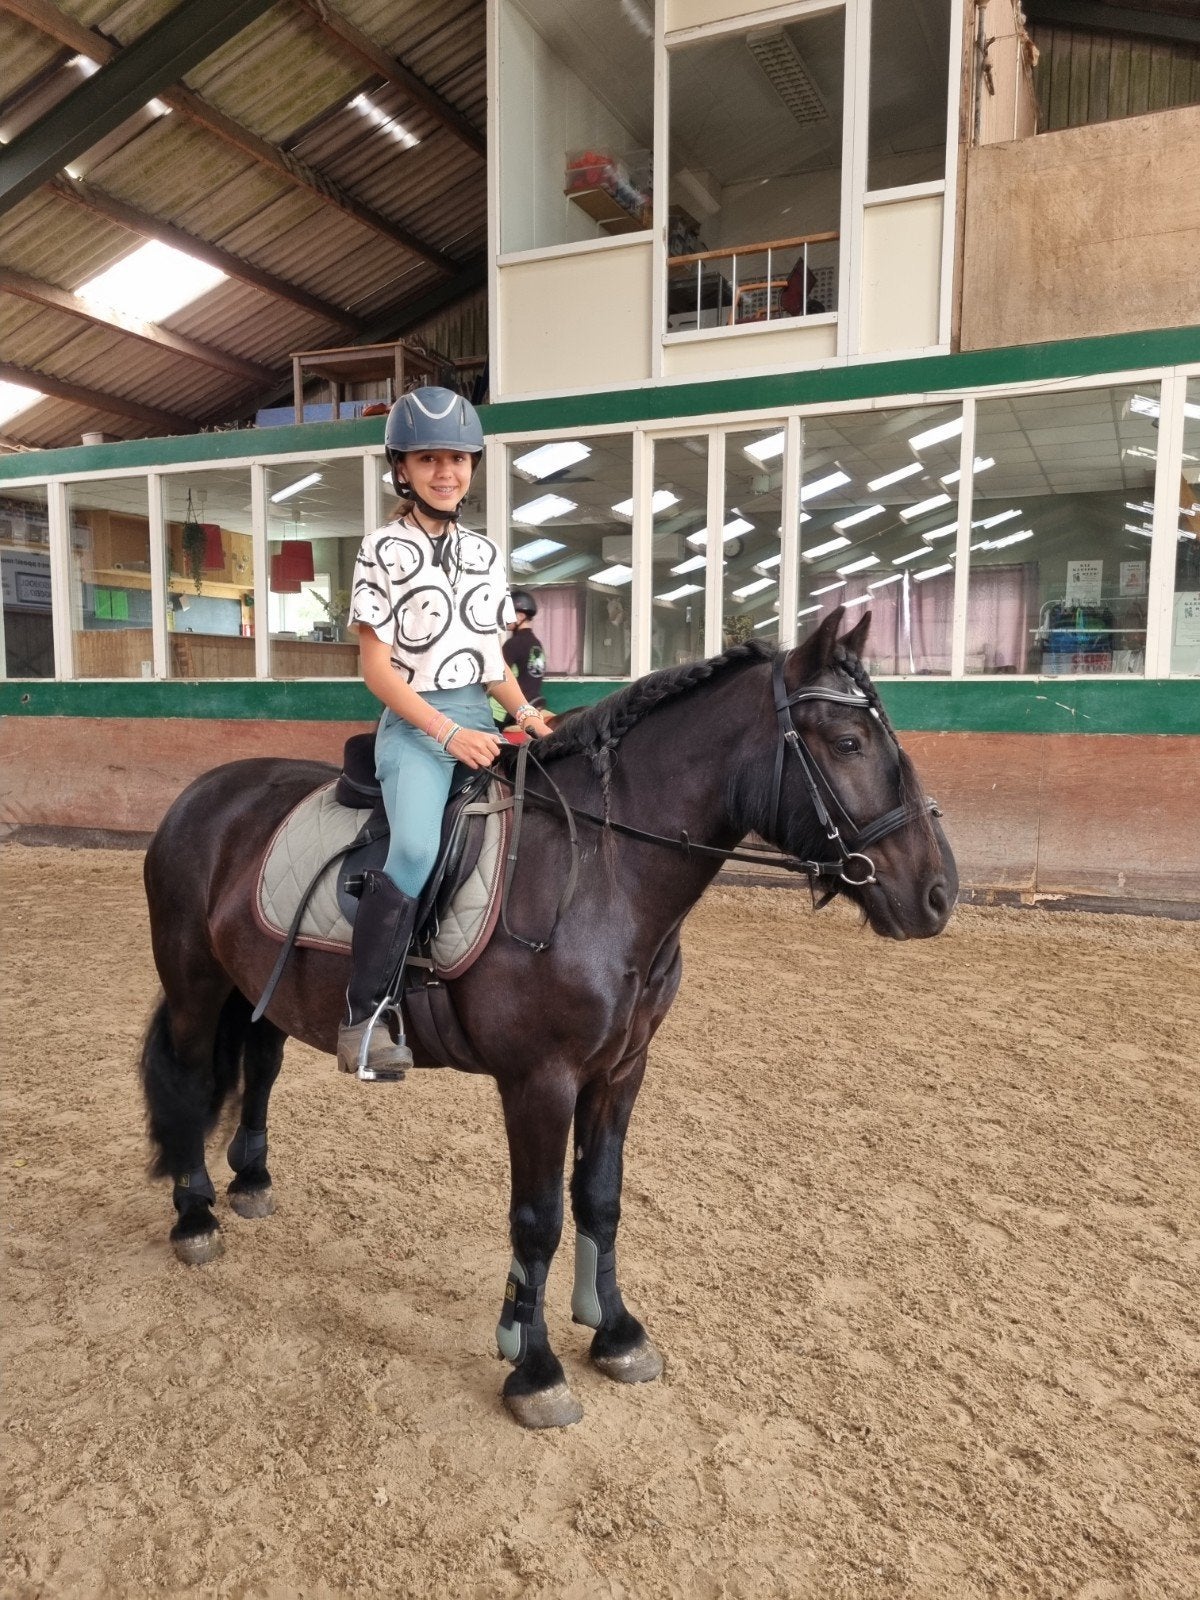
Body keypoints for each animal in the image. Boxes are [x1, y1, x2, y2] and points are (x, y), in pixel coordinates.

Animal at [139, 608, 957, 1428]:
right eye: (848, 743)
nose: (939, 894)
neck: (600, 870)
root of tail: (203, 793)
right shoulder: (541, 1080)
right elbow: (539, 1219)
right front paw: (534, 1370)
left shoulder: (621, 1069)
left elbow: (601, 1198)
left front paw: (615, 1331)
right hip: (194, 983)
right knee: (187, 1079)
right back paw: (195, 1217)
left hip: (259, 990)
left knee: (260, 1068)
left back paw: (251, 1181)